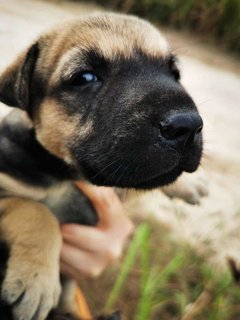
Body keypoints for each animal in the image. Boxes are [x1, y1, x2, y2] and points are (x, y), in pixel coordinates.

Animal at [0, 13, 202, 320]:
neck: (66, 173)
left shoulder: (122, 178)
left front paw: (188, 185)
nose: (188, 126)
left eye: (175, 74)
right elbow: (36, 212)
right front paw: (36, 279)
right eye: (84, 78)